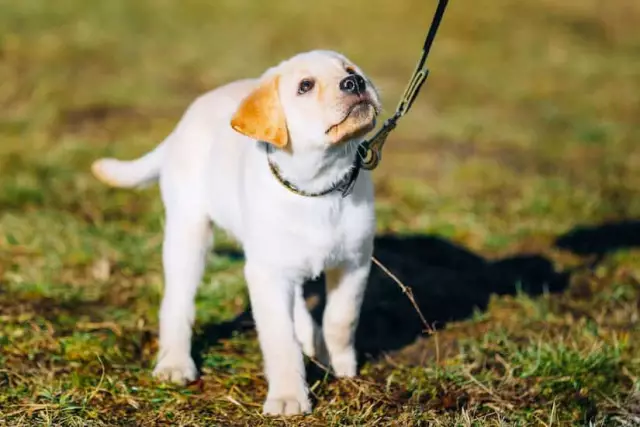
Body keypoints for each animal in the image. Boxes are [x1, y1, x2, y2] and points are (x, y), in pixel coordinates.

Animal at [90, 49, 380, 414]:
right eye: (305, 86)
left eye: (349, 69)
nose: (355, 82)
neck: (318, 187)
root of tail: (183, 124)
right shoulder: (267, 273)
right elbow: (280, 339)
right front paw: (288, 397)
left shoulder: (354, 261)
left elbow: (341, 319)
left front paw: (341, 366)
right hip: (189, 232)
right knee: (177, 301)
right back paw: (174, 363)